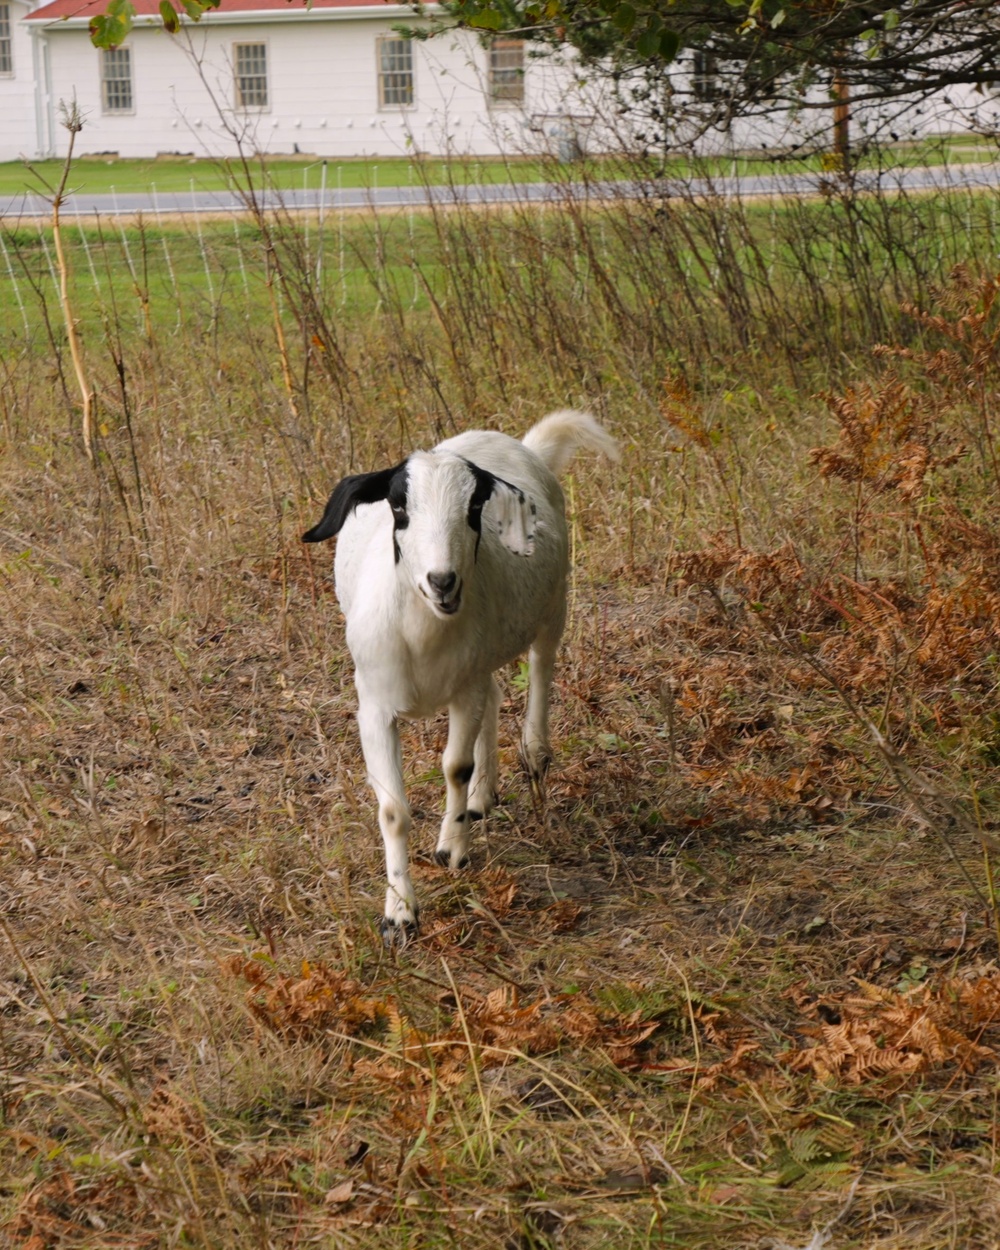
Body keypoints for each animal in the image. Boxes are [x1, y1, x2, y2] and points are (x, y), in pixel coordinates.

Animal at [302, 410, 617, 940]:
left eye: (473, 506)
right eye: (398, 505)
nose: (442, 581)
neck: (423, 632)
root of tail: (517, 443)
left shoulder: (463, 691)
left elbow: (454, 766)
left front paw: (452, 849)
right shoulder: (375, 706)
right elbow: (393, 810)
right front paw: (399, 914)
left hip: (554, 606)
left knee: (540, 669)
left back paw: (530, 758)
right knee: (495, 693)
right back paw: (481, 798)